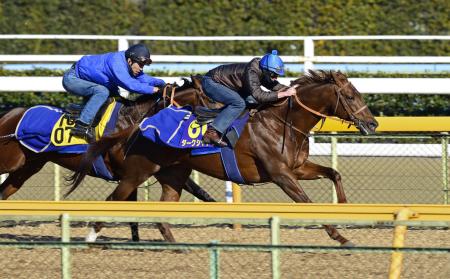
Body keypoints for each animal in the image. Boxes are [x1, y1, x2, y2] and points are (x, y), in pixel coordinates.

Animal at [0, 80, 216, 242]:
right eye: (211, 99)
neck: (137, 122)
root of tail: (9, 114)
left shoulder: (141, 172)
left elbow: (200, 192)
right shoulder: (133, 174)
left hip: (27, 167)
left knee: (4, 192)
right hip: (10, 161)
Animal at [70, 70, 378, 247]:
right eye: (351, 96)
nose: (372, 123)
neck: (282, 121)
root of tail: (139, 124)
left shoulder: (298, 168)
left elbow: (334, 173)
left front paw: (346, 209)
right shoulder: (281, 174)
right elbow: (307, 203)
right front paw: (340, 237)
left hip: (173, 174)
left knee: (160, 210)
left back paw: (176, 246)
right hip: (138, 171)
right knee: (114, 199)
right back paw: (91, 237)